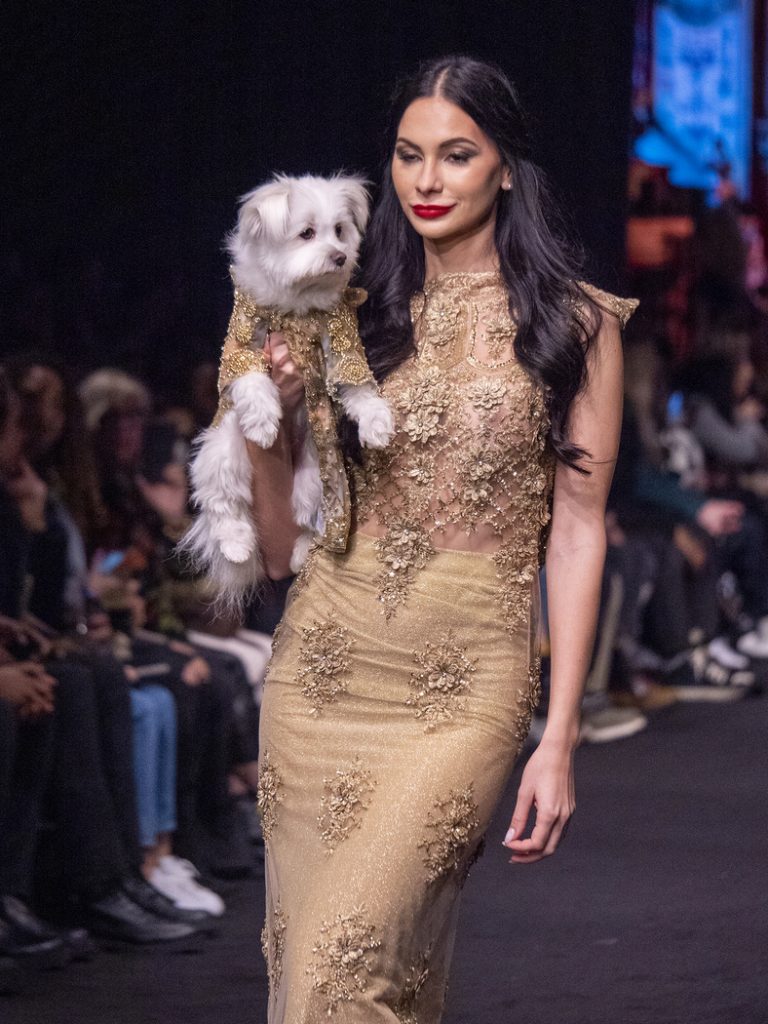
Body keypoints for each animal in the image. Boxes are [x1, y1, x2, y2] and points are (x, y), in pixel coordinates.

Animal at [180, 172, 394, 610]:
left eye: (339, 230)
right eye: (306, 233)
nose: (339, 257)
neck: (299, 307)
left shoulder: (340, 340)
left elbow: (357, 385)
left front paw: (377, 423)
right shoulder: (243, 340)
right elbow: (250, 377)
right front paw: (264, 424)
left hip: (316, 475)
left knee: (305, 522)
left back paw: (299, 553)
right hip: (224, 452)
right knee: (224, 504)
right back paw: (237, 546)